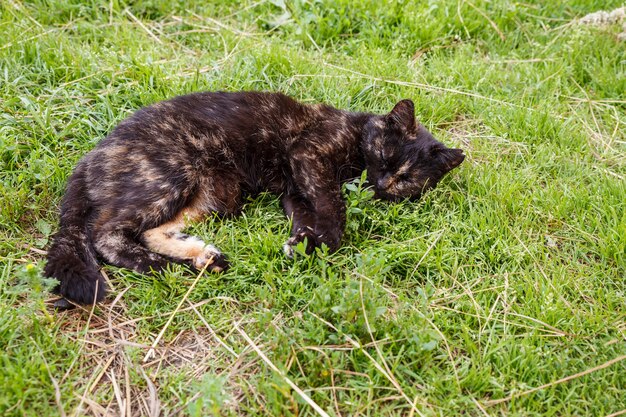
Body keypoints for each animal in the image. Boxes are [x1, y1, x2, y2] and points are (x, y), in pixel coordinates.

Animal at [45, 92, 464, 306]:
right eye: (385, 154)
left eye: (407, 179)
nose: (381, 183)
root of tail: (91, 156)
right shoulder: (309, 155)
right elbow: (334, 205)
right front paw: (328, 238)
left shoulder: (296, 189)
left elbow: (306, 215)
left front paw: (303, 244)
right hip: (170, 176)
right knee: (104, 232)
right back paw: (160, 267)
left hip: (216, 196)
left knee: (150, 231)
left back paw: (203, 258)